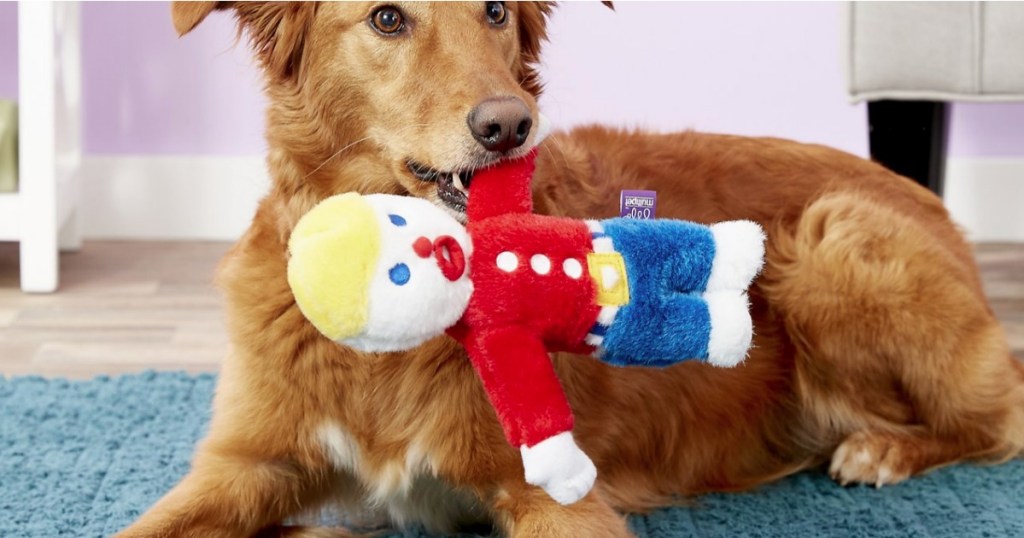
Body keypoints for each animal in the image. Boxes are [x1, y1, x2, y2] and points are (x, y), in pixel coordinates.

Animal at [116, 2, 1024, 532]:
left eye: (494, 8)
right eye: (387, 18)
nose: (511, 125)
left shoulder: (558, 495)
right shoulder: (248, 464)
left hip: (830, 237)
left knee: (1002, 415)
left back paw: (882, 451)